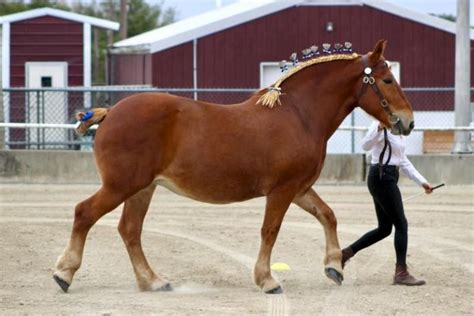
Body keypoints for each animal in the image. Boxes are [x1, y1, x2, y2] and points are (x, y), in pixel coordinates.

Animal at [53, 39, 412, 294]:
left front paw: (334, 265)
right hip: (121, 186)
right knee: (85, 214)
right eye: (387, 79)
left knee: (130, 230)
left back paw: (153, 281)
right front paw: (267, 280)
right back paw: (64, 273)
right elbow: (270, 230)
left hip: (142, 189)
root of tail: (111, 112)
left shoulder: (299, 188)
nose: (407, 121)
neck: (298, 115)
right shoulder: (281, 191)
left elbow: (328, 215)